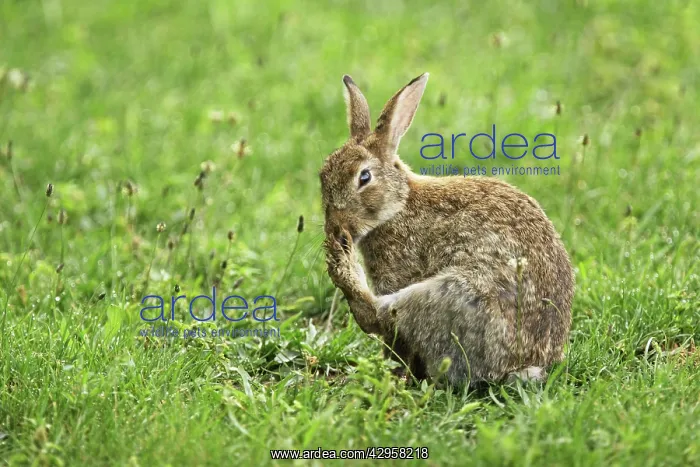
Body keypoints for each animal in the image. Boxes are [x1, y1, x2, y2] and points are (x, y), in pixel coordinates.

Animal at [320, 73, 575, 386]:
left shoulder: (398, 272)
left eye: (364, 177)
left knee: (379, 316)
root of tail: (521, 365)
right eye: (323, 176)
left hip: (450, 295)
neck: (400, 203)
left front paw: (394, 372)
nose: (335, 228)